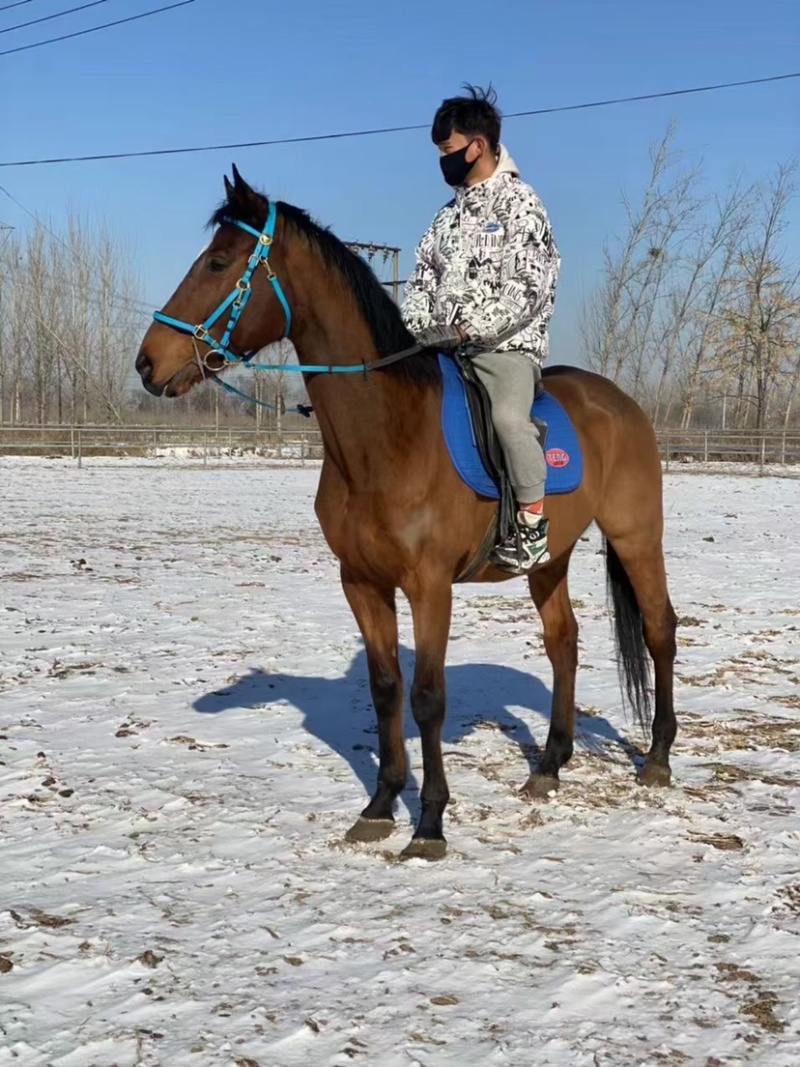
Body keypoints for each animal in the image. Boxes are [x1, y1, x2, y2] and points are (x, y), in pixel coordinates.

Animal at [135, 166, 678, 860]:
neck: (386, 438)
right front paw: (380, 804)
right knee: (564, 642)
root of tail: (622, 403)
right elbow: (385, 687)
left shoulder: (429, 588)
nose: (148, 363)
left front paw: (430, 823)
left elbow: (427, 698)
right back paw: (550, 765)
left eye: (218, 262)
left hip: (636, 537)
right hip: (548, 560)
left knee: (660, 631)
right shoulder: (363, 583)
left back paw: (657, 757)